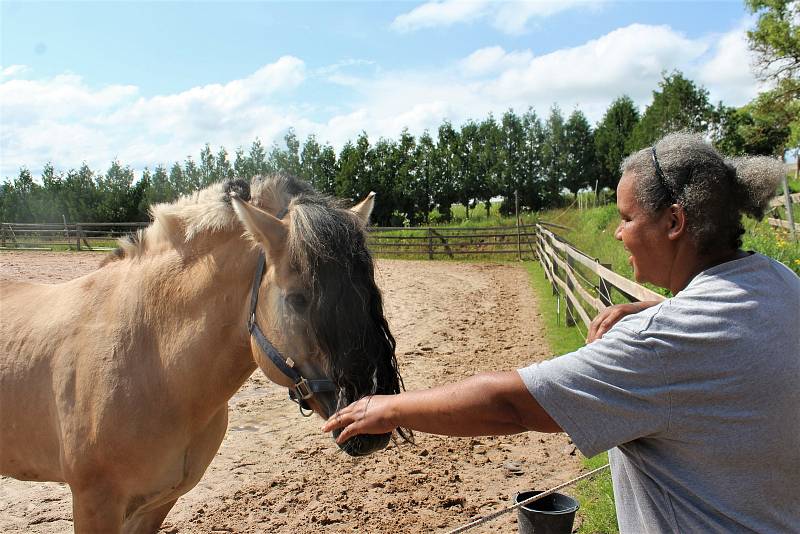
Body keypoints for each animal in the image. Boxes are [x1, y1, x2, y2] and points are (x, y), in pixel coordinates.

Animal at [0, 177, 410, 534]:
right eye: (297, 299)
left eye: (370, 295)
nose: (371, 423)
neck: (153, 362)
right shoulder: (94, 504)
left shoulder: (156, 504)